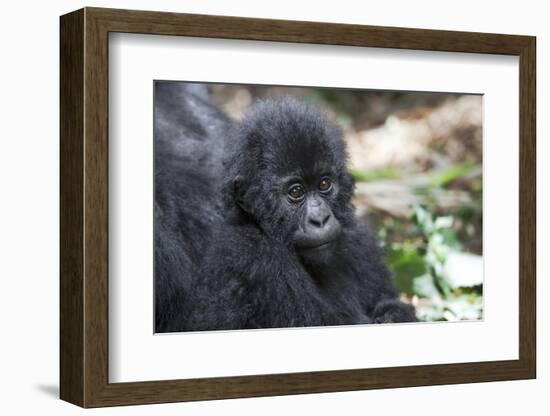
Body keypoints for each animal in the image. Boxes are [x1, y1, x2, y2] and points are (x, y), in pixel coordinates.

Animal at [153, 83, 416, 332]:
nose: (320, 219)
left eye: (324, 184)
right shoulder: (257, 258)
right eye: (296, 192)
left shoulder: (359, 238)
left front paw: (393, 313)